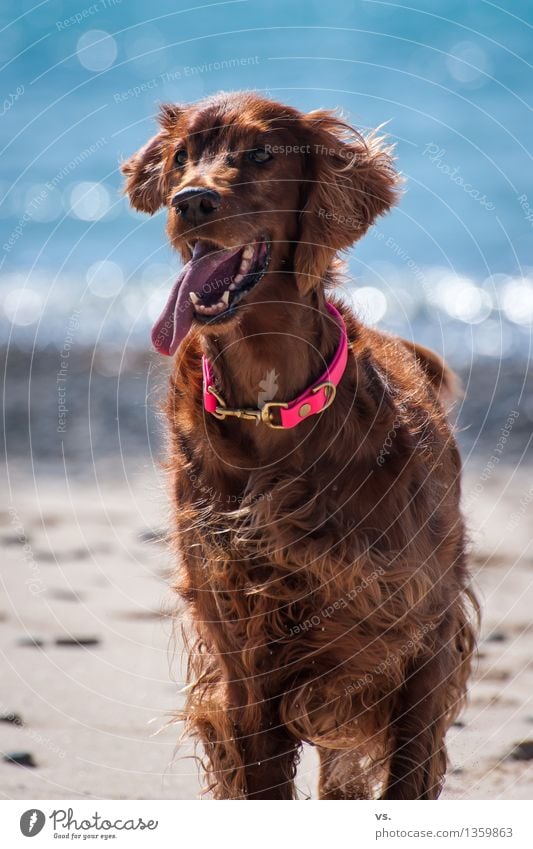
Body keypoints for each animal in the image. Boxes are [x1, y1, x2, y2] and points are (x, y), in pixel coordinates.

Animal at [122, 93, 476, 800]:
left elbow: (409, 773)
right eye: (181, 157)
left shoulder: (421, 632)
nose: (191, 201)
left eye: (261, 153)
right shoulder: (245, 660)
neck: (271, 405)